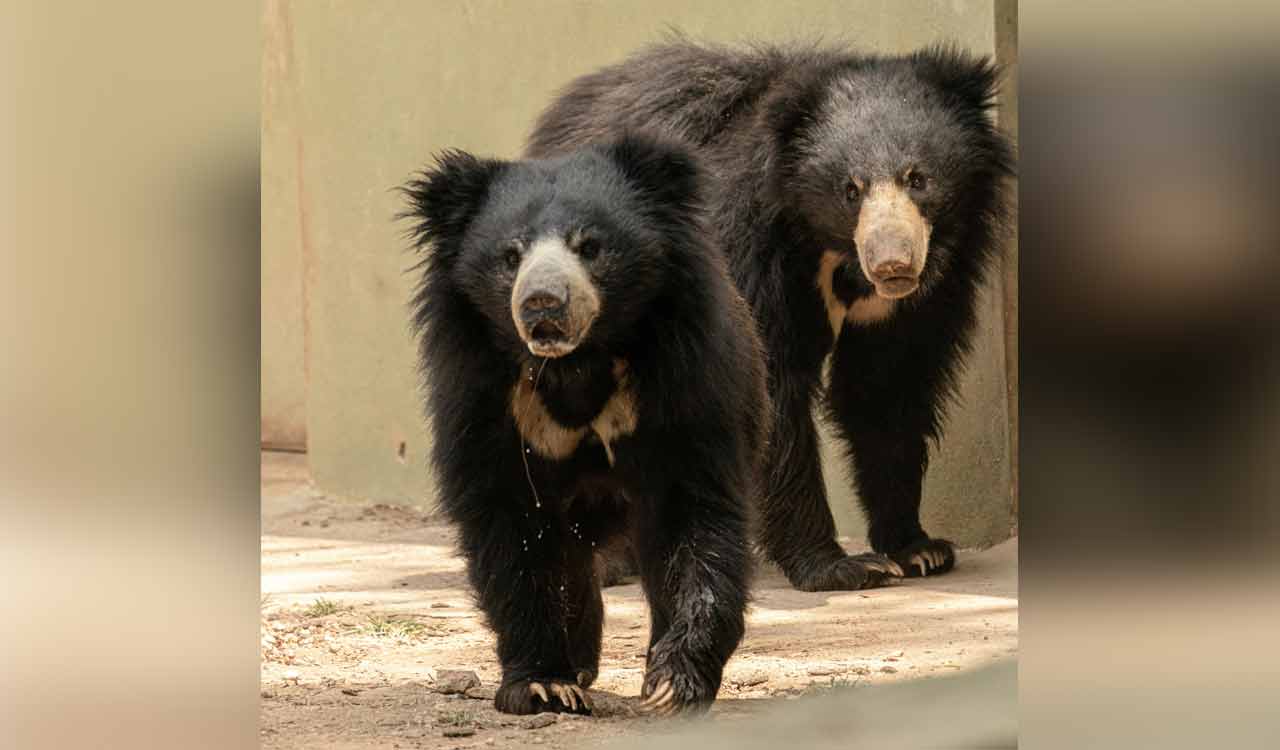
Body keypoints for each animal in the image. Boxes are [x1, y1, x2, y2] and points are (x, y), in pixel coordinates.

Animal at [400, 134, 769, 715]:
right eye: (511, 255)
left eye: (590, 246)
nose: (543, 303)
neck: (575, 365)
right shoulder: (484, 402)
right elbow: (511, 533)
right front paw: (542, 684)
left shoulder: (686, 387)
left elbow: (695, 516)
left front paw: (673, 682)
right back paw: (578, 663)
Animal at [527, 40, 1013, 592]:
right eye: (851, 189)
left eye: (917, 178)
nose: (894, 265)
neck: (831, 251)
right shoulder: (746, 249)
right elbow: (769, 385)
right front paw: (841, 566)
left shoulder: (928, 288)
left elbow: (887, 389)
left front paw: (918, 549)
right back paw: (604, 561)